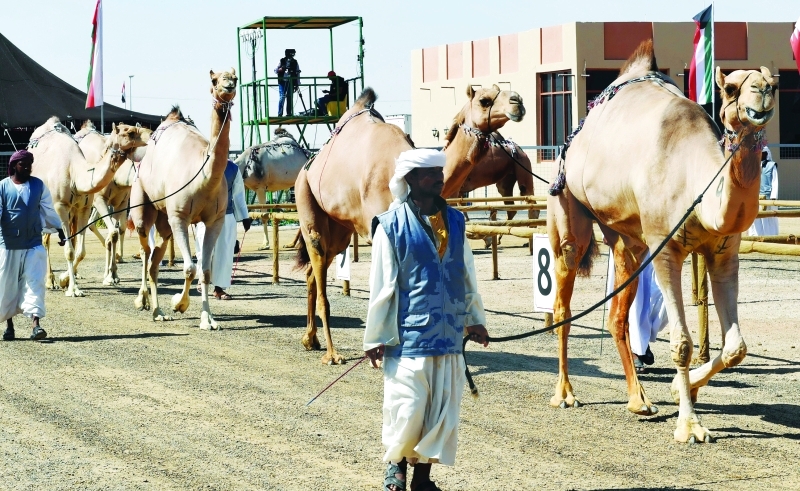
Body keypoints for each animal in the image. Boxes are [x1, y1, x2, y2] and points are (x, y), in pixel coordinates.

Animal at [28, 118, 152, 296]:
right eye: (129, 132)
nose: (151, 133)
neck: (75, 172)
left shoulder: (85, 208)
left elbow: (81, 250)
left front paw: (66, 279)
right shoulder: (61, 207)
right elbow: (69, 250)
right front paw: (72, 289)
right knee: (44, 240)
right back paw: (50, 281)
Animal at [130, 68, 238, 330]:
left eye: (235, 77)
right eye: (215, 79)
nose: (228, 86)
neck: (203, 175)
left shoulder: (214, 221)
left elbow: (205, 271)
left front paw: (208, 320)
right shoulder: (180, 216)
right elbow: (189, 268)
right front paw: (179, 304)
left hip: (164, 222)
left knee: (155, 261)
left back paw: (158, 311)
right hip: (144, 206)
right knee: (145, 252)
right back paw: (142, 300)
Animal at [296, 84, 524, 364]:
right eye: (484, 100)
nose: (518, 102)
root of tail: (310, 164)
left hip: (340, 228)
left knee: (312, 272)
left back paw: (310, 339)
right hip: (306, 199)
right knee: (318, 264)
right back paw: (331, 353)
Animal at [544, 40, 776, 444]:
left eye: (772, 85)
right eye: (730, 88)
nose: (761, 93)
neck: (697, 183)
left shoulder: (724, 253)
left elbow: (736, 347)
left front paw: (682, 389)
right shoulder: (665, 248)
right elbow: (681, 343)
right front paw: (690, 426)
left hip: (629, 242)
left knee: (617, 315)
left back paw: (639, 401)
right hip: (568, 209)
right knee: (563, 304)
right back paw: (565, 393)